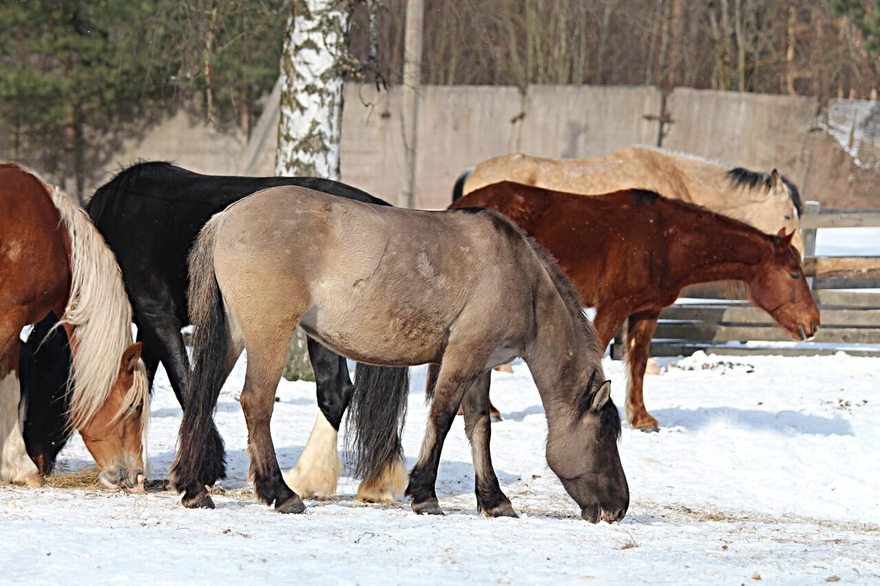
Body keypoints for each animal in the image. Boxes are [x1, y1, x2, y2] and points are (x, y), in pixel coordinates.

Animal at [17, 162, 410, 500]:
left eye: (38, 384)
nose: (36, 458)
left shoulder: (158, 316)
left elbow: (186, 383)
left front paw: (204, 468)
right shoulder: (148, 326)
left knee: (332, 392)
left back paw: (306, 479)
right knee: (336, 391)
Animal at [170, 184, 624, 520]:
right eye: (605, 436)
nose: (619, 508)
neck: (519, 275)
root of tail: (227, 217)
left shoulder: (481, 366)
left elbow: (478, 426)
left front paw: (494, 500)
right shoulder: (462, 357)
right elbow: (442, 418)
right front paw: (425, 494)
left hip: (234, 336)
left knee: (203, 397)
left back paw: (193, 488)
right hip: (269, 336)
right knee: (256, 403)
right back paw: (281, 493)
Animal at [450, 180, 820, 432]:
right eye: (794, 272)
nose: (814, 322)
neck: (666, 240)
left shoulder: (646, 311)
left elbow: (639, 363)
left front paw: (641, 417)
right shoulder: (614, 305)